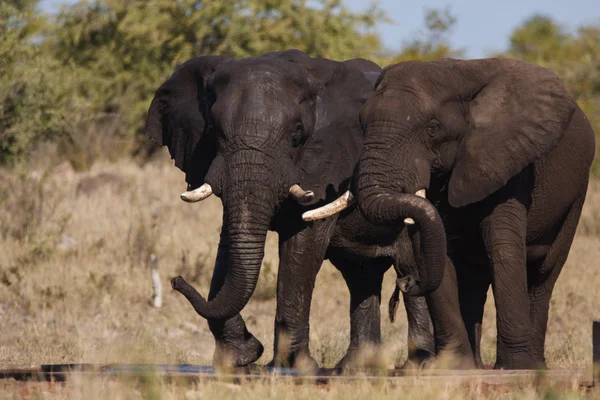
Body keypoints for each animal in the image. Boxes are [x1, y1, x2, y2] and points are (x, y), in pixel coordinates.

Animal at [144, 51, 446, 370]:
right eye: (212, 131)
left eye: (297, 134)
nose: (175, 280)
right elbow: (229, 240)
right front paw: (240, 359)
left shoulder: (330, 164)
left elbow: (302, 246)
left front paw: (291, 367)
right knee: (361, 276)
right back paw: (355, 367)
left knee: (409, 270)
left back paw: (418, 365)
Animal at [310, 57, 596, 370]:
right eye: (362, 124)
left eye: (433, 129)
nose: (405, 281)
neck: (458, 74)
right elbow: (434, 245)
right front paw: (453, 368)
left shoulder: (507, 161)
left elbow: (503, 248)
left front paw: (517, 368)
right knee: (474, 280)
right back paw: (478, 365)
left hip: (576, 194)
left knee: (545, 272)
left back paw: (536, 366)